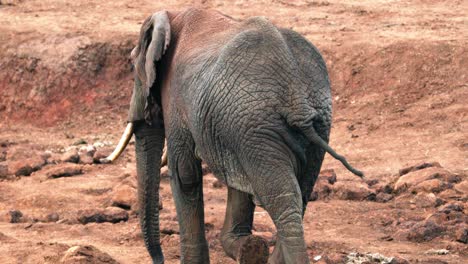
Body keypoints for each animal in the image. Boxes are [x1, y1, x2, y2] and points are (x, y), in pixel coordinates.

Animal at [104, 8, 364, 264]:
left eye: (131, 65)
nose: (159, 259)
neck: (173, 16)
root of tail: (296, 95)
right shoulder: (232, 128)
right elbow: (236, 179)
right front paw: (247, 249)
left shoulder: (176, 98)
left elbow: (184, 174)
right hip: (305, 124)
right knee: (299, 194)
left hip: (257, 123)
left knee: (281, 197)